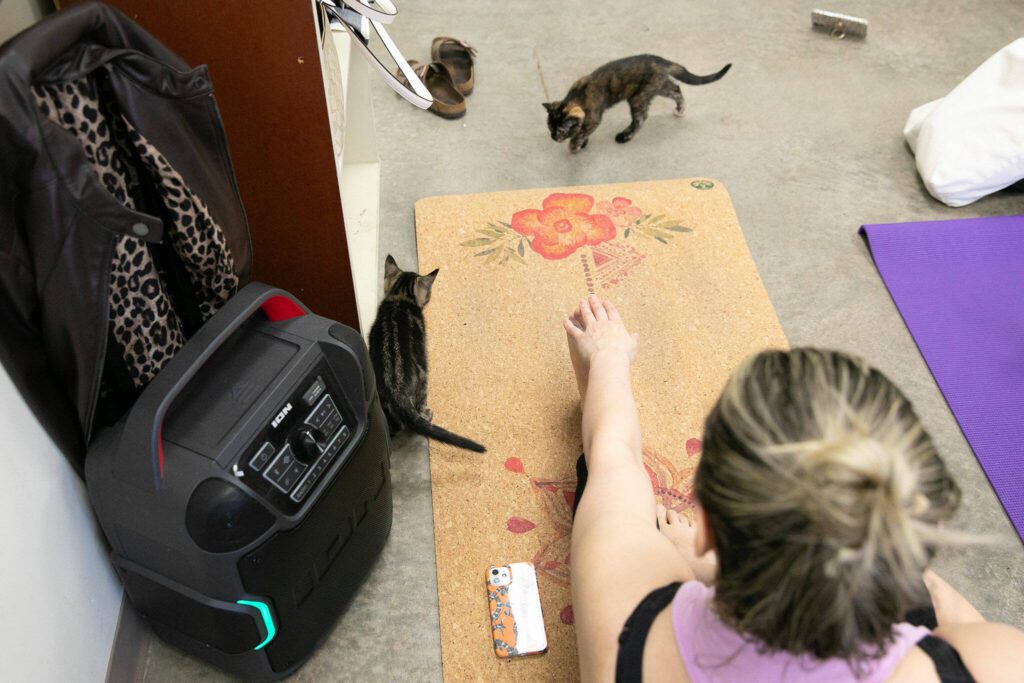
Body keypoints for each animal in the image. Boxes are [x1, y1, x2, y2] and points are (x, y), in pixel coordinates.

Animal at [366, 255, 485, 454]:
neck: (401, 297)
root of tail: (395, 389)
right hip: (422, 377)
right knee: (419, 404)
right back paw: (425, 414)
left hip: (380, 394)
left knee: (395, 425)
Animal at [540, 54, 733, 153]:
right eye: (549, 128)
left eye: (561, 131)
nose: (553, 138)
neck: (577, 96)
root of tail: (661, 60)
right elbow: (582, 130)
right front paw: (582, 142)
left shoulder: (594, 117)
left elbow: (582, 131)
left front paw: (574, 145)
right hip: (659, 86)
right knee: (677, 89)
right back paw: (680, 110)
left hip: (639, 96)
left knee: (641, 118)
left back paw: (625, 136)